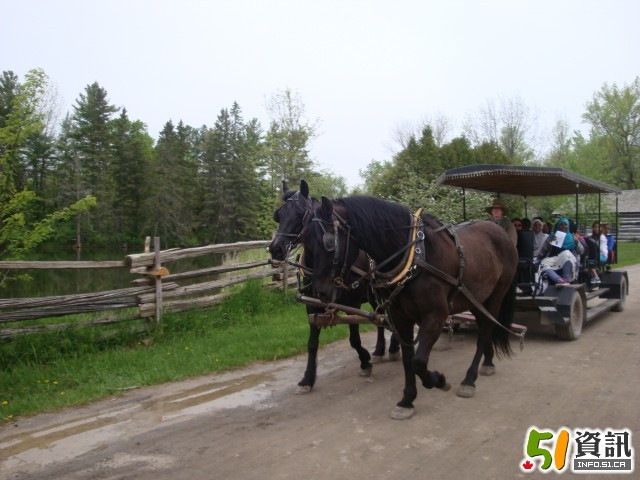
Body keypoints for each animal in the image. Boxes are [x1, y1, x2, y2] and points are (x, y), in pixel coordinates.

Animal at [302, 197, 516, 418]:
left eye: (328, 243)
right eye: (305, 241)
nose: (319, 293)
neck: (415, 257)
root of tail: (500, 233)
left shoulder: (435, 316)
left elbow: (419, 362)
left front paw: (439, 381)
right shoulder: (400, 318)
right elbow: (408, 360)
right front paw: (407, 400)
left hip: (495, 297)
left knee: (486, 330)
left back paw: (470, 379)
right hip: (475, 298)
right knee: (484, 327)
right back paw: (488, 362)